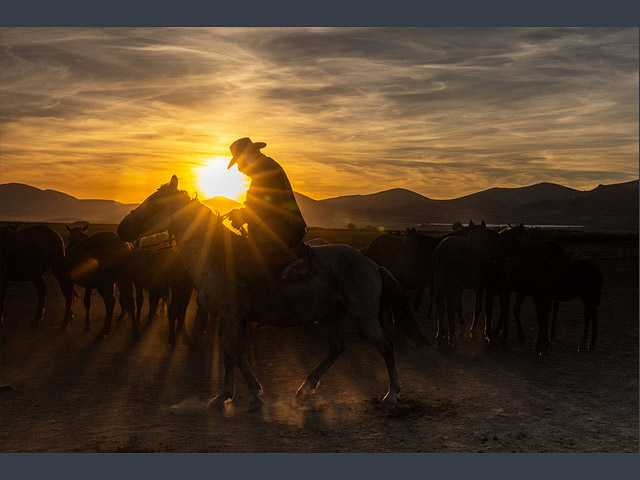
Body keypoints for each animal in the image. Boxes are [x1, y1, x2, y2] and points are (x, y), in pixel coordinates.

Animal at [117, 175, 428, 408]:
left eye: (154, 203)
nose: (121, 230)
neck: (215, 256)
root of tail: (371, 263)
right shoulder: (239, 319)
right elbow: (240, 355)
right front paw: (255, 392)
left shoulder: (229, 316)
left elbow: (229, 354)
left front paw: (222, 397)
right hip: (329, 315)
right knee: (336, 348)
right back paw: (304, 390)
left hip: (362, 314)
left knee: (385, 345)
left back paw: (391, 396)